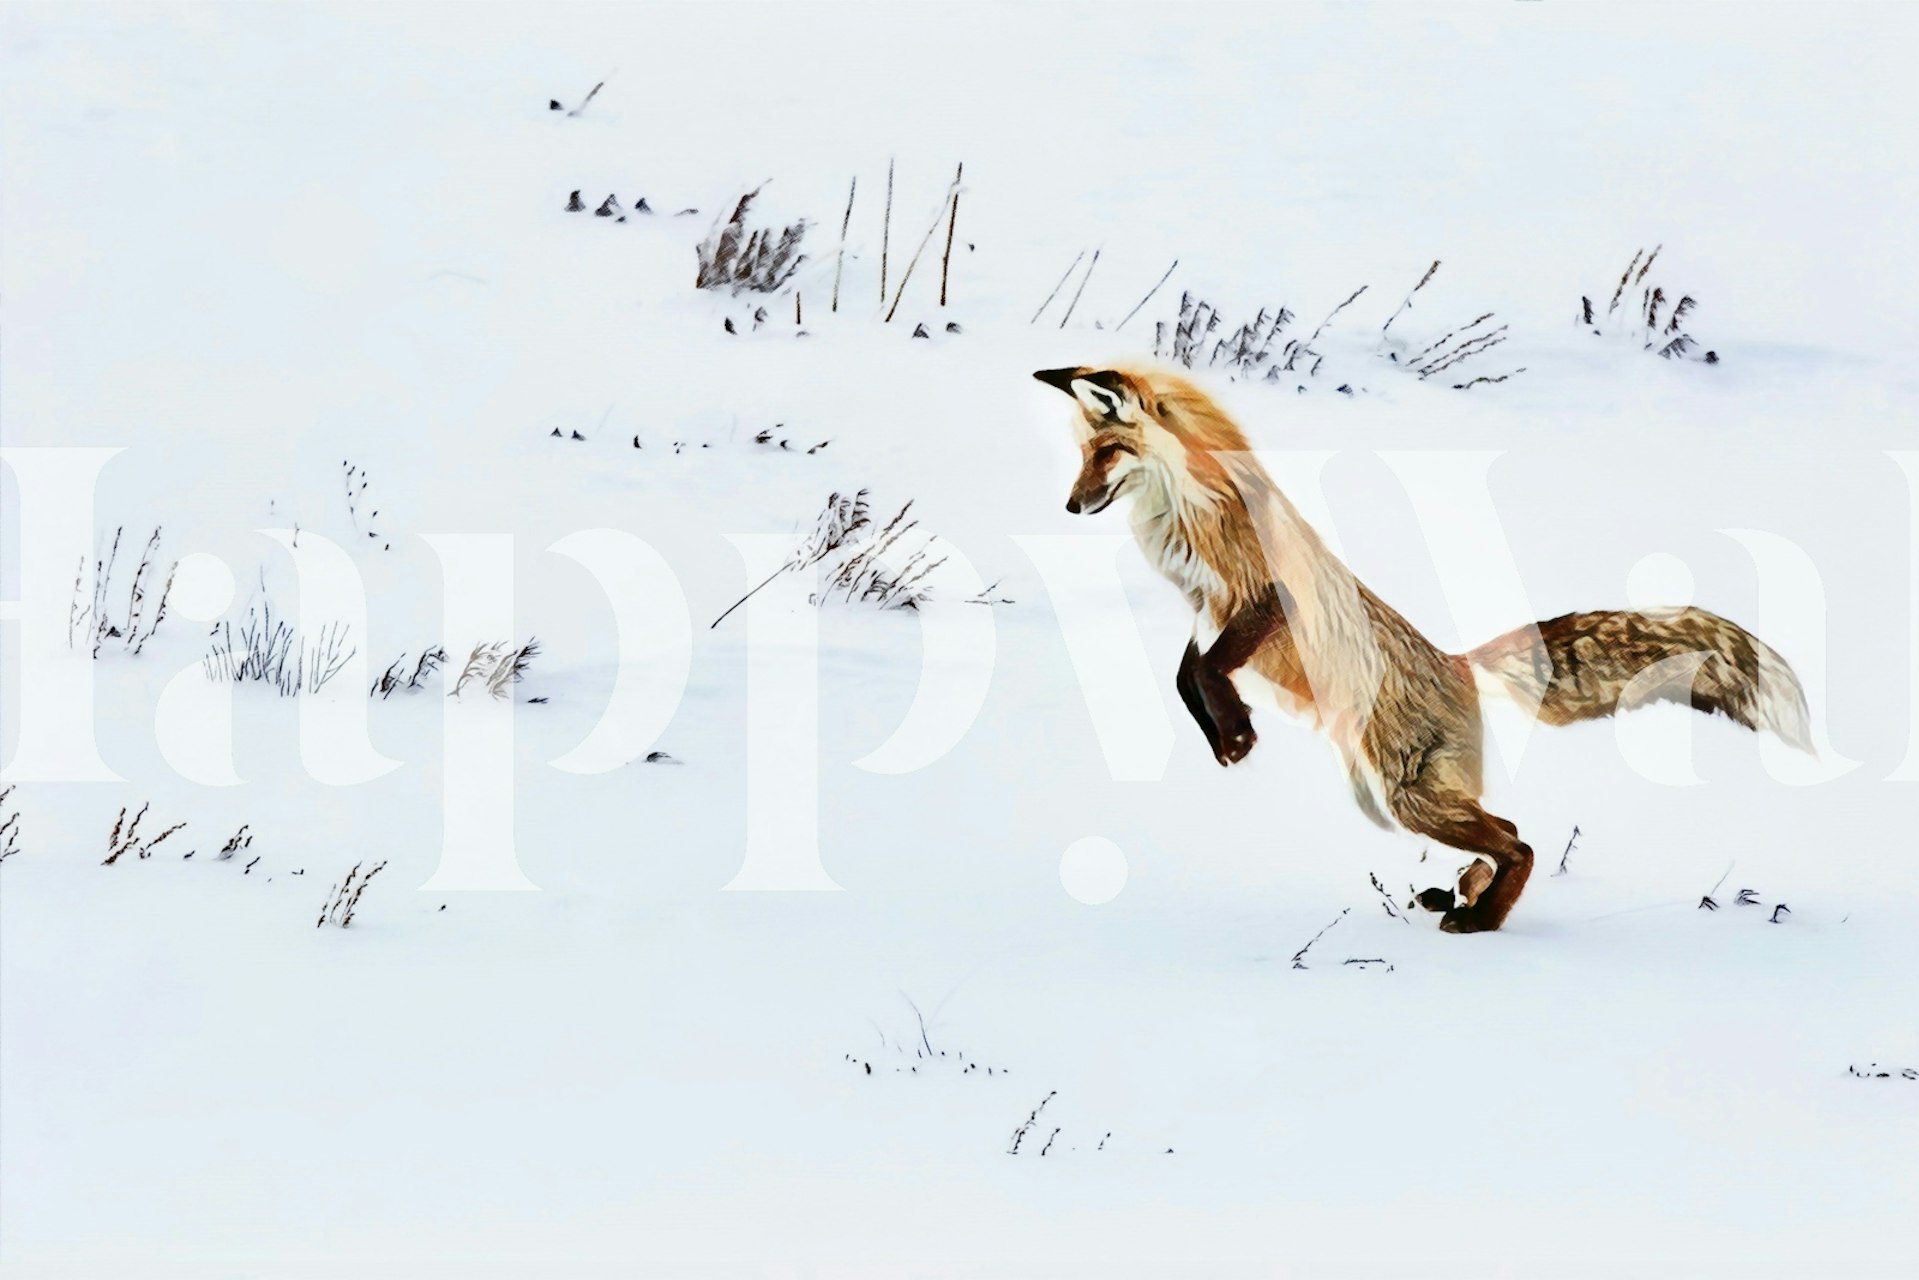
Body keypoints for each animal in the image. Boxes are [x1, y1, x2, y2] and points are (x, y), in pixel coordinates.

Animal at [1035, 364, 1814, 933]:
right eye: (1081, 454)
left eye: (1107, 451)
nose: (1069, 506)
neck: (1188, 509)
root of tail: (1457, 662)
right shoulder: (1208, 609)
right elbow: (1185, 674)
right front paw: (1227, 734)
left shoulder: (1265, 597)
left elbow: (1204, 669)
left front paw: (1233, 734)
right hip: (1398, 797)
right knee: (1502, 831)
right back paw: (1461, 894)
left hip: (1406, 796)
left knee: (1520, 841)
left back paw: (1479, 921)